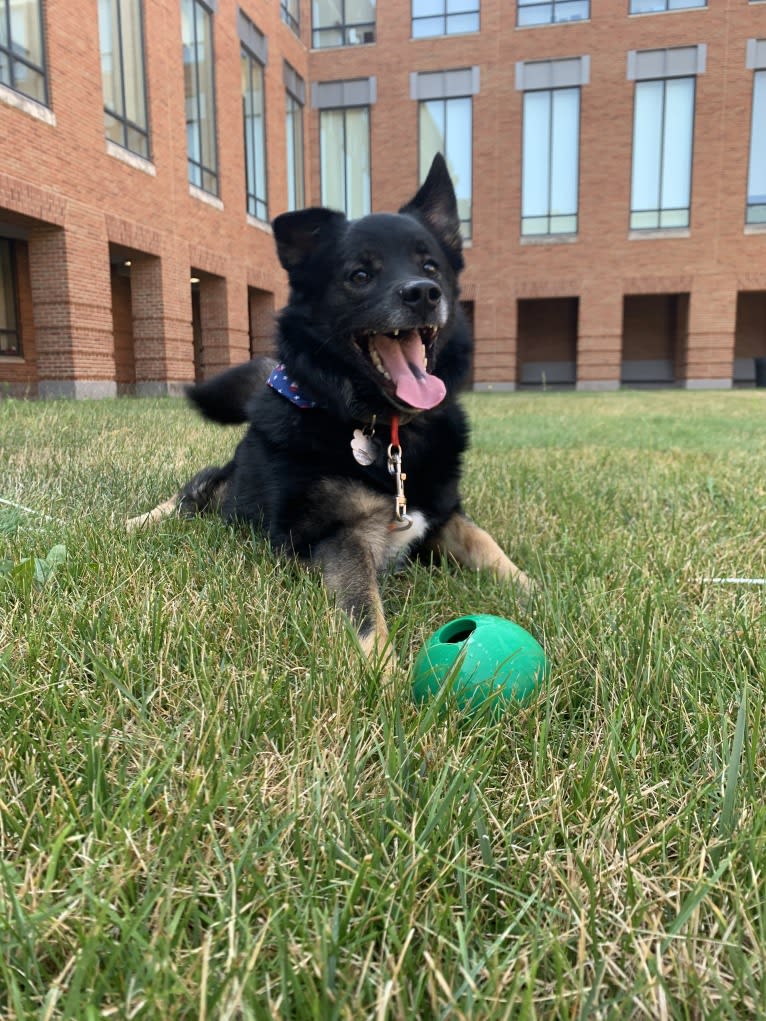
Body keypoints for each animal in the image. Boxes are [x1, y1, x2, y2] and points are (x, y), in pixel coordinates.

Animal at [129, 151, 531, 661]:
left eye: (431, 266)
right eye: (360, 276)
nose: (423, 292)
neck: (388, 431)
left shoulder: (443, 513)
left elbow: (487, 544)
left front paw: (535, 588)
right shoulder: (334, 539)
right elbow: (365, 612)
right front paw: (386, 674)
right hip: (221, 488)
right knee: (189, 495)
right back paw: (131, 523)